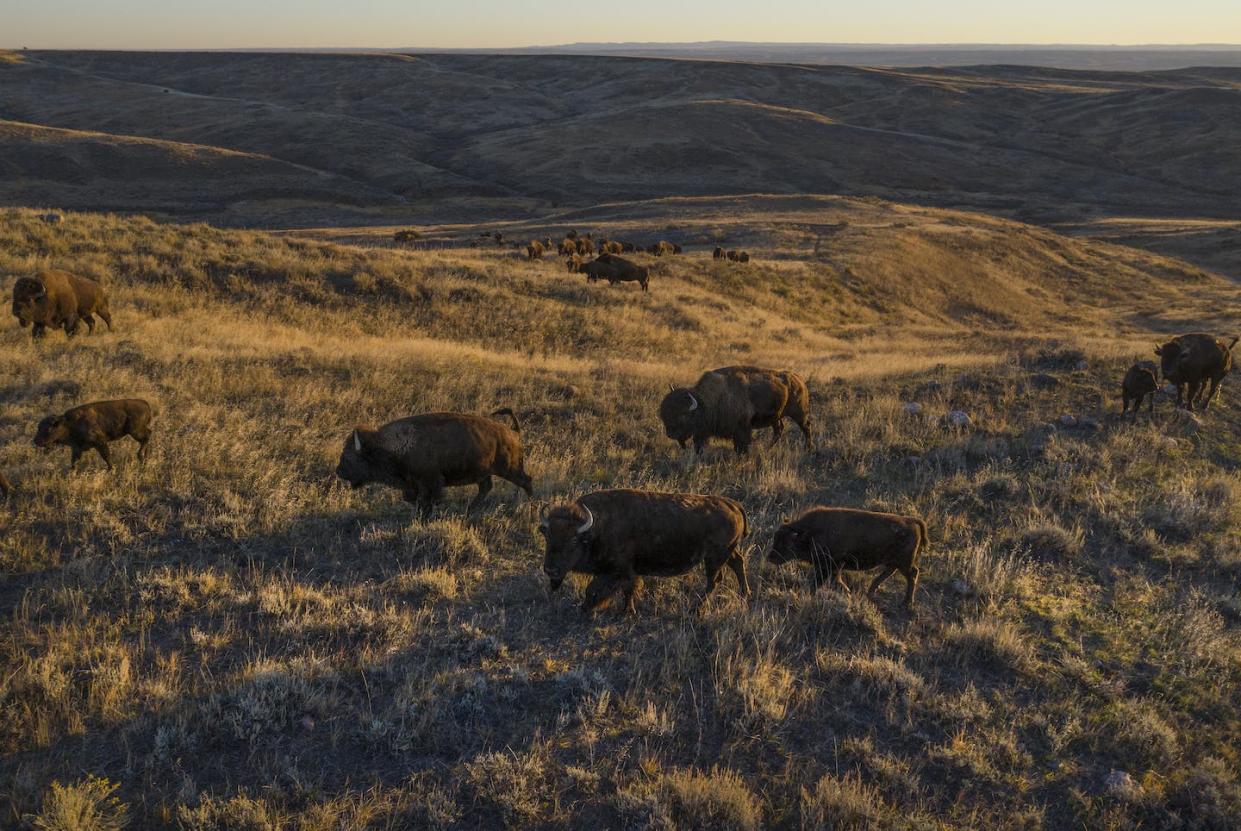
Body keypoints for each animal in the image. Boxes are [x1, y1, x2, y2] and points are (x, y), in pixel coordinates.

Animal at [335, 409, 533, 520]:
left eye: (349, 457)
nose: (338, 471)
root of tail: (512, 432)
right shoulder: (413, 485)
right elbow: (414, 500)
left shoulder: (431, 483)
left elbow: (428, 501)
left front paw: (425, 517)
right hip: (484, 473)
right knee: (486, 488)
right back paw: (469, 510)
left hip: (510, 469)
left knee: (526, 481)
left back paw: (529, 505)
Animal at [536, 488, 744, 617]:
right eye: (548, 536)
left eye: (573, 540)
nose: (550, 570)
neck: (596, 529)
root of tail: (732, 504)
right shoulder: (623, 572)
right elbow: (626, 589)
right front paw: (626, 610)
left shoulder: (618, 570)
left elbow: (597, 589)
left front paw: (590, 608)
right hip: (726, 553)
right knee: (738, 564)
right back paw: (745, 595)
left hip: (715, 558)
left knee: (714, 581)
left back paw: (695, 610)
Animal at [660, 364, 814, 456]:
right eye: (664, 415)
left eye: (683, 415)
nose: (670, 434)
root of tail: (798, 379)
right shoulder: (701, 433)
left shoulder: (742, 429)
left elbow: (741, 446)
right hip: (776, 417)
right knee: (779, 430)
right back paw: (767, 449)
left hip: (800, 414)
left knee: (806, 428)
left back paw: (808, 449)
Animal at [769, 503, 928, 607]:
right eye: (775, 538)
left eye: (786, 544)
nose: (770, 557)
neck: (810, 532)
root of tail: (911, 521)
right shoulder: (828, 567)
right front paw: (847, 592)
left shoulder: (829, 566)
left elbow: (823, 581)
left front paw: (846, 592)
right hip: (894, 562)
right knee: (890, 572)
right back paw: (871, 591)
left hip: (904, 563)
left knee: (912, 574)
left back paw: (906, 602)